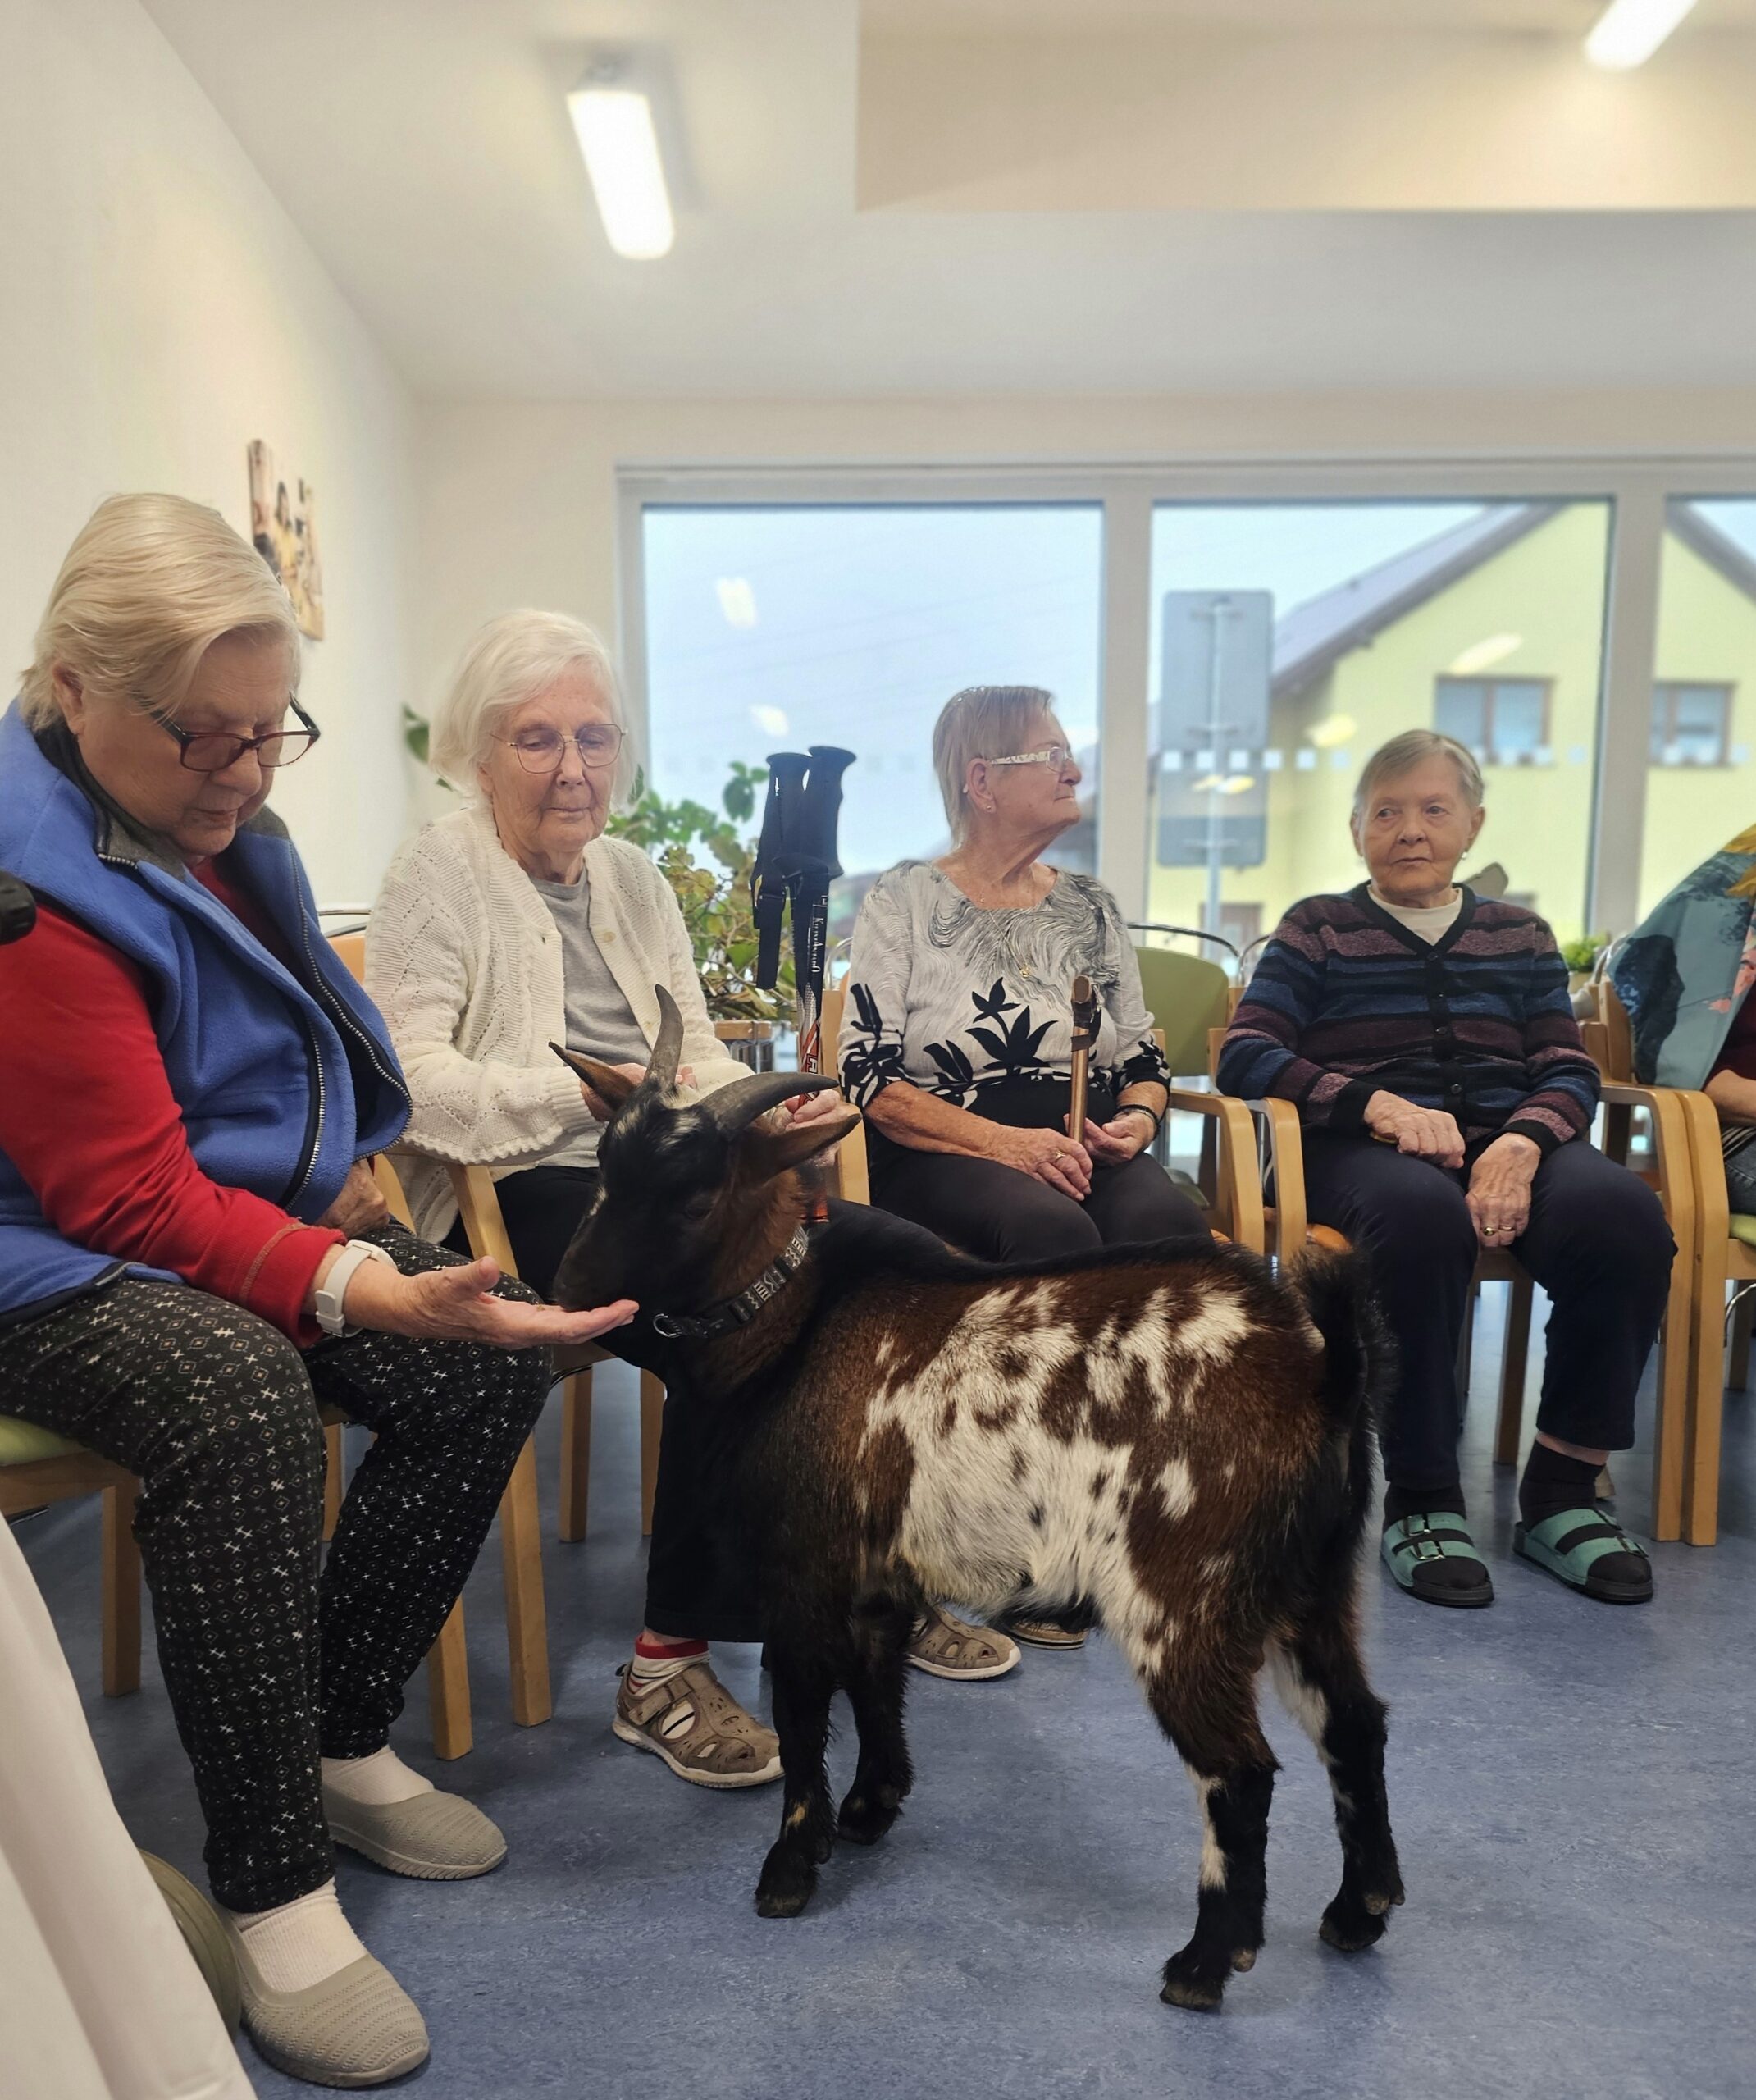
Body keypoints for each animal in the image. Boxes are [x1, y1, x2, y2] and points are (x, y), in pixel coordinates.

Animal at [554, 988, 1404, 2011]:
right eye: (603, 1167)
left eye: (692, 1194)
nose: (568, 1289)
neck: (790, 1325)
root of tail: (1325, 1376)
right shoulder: (880, 1576)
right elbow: (876, 1688)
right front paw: (870, 1809)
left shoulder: (802, 1571)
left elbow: (802, 1715)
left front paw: (791, 1867)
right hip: (1311, 1585)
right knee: (1352, 1724)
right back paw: (1356, 1912)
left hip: (1181, 1599)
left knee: (1238, 1772)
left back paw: (1204, 1965)